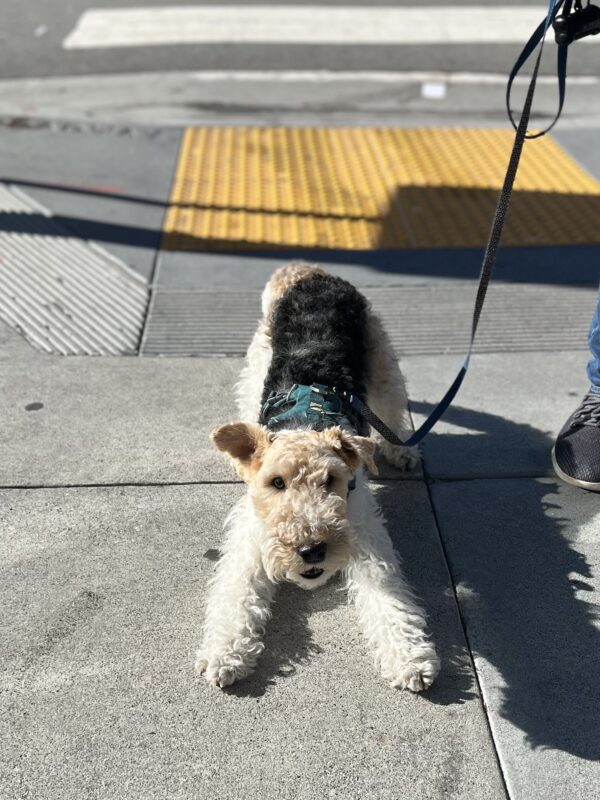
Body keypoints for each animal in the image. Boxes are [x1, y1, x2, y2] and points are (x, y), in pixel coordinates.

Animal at [197, 264, 440, 692]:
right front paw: (224, 655)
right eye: (276, 483)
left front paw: (410, 660)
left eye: (331, 480)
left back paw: (402, 450)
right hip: (258, 366)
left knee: (392, 407)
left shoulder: (364, 532)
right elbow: (236, 592)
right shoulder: (250, 537)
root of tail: (310, 273)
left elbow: (388, 598)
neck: (306, 424)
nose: (311, 550)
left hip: (380, 361)